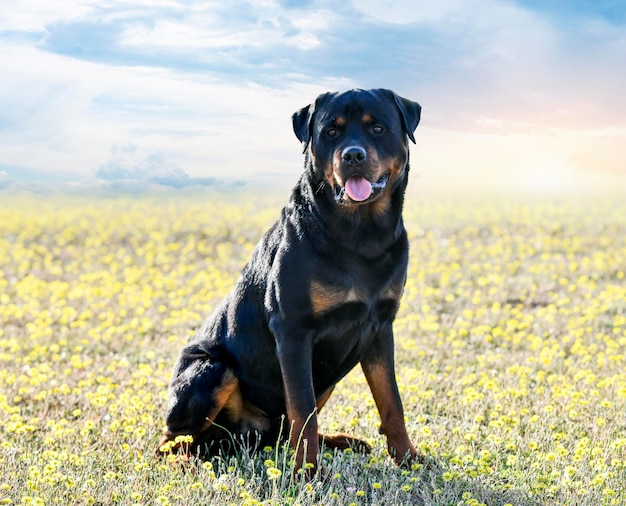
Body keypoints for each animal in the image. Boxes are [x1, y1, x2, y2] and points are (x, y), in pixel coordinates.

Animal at [157, 88, 420, 474]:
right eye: (330, 132)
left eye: (378, 128)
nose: (353, 155)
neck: (361, 234)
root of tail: (246, 439)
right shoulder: (293, 329)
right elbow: (302, 409)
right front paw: (307, 473)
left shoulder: (380, 326)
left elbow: (391, 400)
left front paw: (409, 459)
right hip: (211, 369)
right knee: (172, 441)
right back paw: (190, 463)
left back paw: (340, 441)